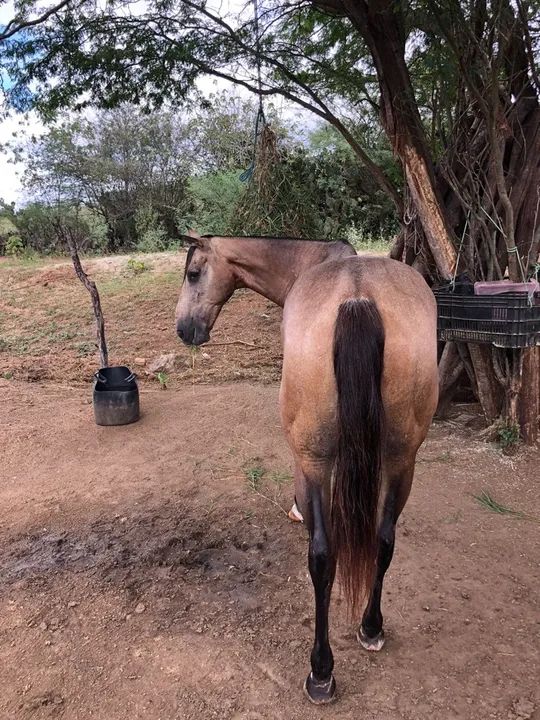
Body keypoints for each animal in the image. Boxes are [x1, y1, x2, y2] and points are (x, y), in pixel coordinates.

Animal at [175, 231, 438, 704]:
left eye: (193, 273)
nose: (184, 329)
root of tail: (357, 297)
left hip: (315, 462)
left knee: (322, 557)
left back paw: (321, 671)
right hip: (401, 460)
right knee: (384, 539)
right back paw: (371, 627)